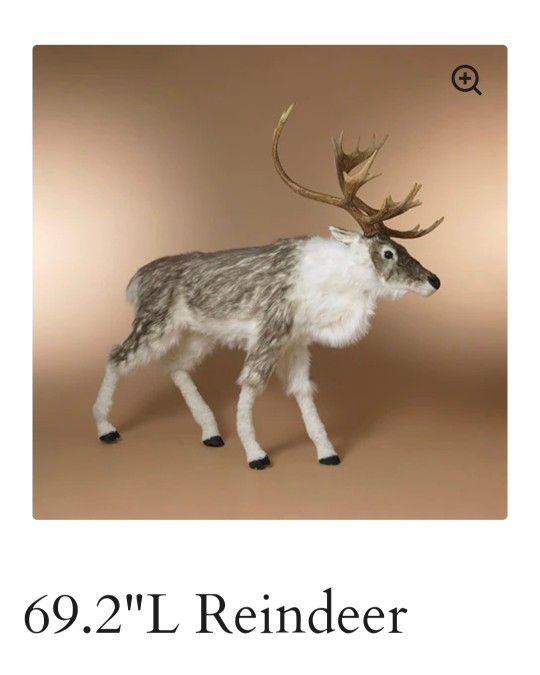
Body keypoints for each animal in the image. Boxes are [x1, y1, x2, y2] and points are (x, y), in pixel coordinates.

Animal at [93, 104, 443, 469]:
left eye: (401, 247)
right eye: (388, 252)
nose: (434, 280)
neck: (332, 294)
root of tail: (136, 281)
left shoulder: (297, 342)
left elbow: (303, 391)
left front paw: (327, 451)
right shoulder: (270, 332)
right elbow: (250, 386)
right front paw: (256, 453)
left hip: (197, 334)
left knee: (174, 365)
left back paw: (210, 431)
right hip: (154, 323)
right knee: (117, 355)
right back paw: (106, 427)